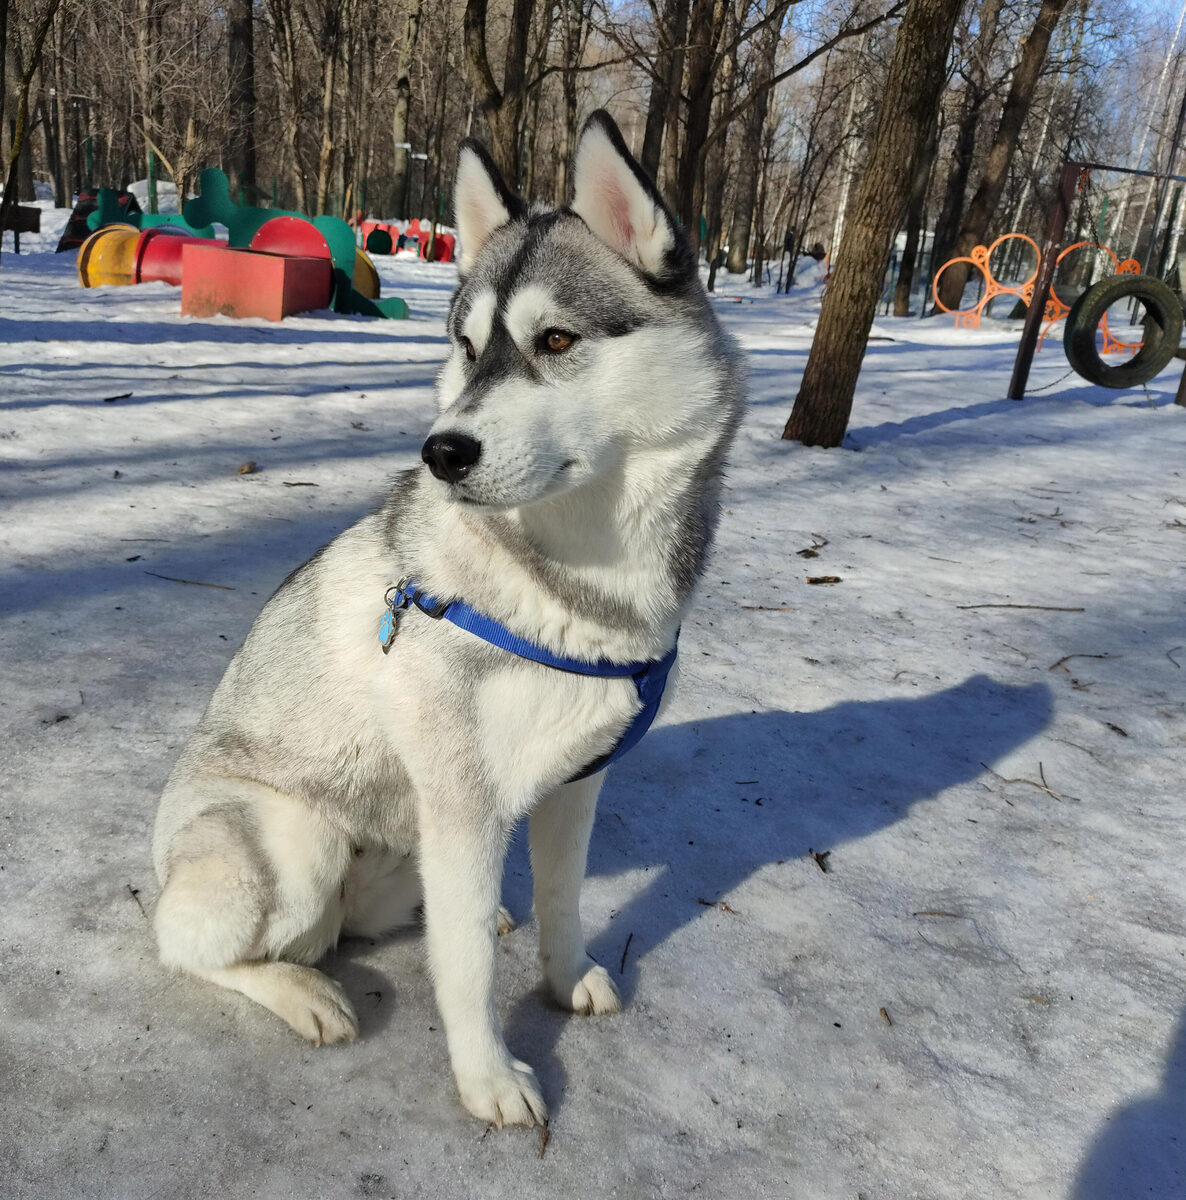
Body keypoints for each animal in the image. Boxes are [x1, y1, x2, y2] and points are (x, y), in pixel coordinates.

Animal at [148, 110, 739, 1123]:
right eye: (465, 345)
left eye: (556, 340)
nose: (443, 453)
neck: (576, 589)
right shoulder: (464, 804)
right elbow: (463, 969)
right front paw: (488, 1077)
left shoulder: (578, 783)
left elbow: (561, 903)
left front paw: (564, 975)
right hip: (299, 844)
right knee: (188, 944)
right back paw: (301, 991)